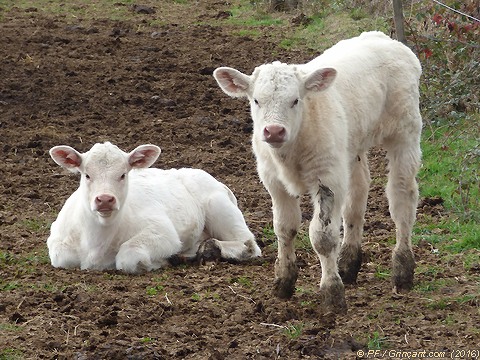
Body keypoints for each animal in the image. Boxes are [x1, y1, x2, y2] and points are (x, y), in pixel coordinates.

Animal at [47, 141, 260, 272]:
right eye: (87, 175)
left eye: (123, 174)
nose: (105, 199)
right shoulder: (57, 242)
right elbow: (63, 258)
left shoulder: (163, 232)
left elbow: (129, 256)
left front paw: (164, 260)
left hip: (220, 207)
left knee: (249, 244)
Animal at [213, 31, 420, 312]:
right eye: (256, 100)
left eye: (295, 100)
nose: (274, 131)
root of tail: (382, 38)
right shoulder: (274, 181)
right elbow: (284, 227)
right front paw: (284, 281)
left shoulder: (327, 178)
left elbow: (323, 237)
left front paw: (332, 294)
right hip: (350, 147)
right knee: (357, 196)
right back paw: (349, 264)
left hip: (404, 131)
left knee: (401, 198)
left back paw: (402, 270)